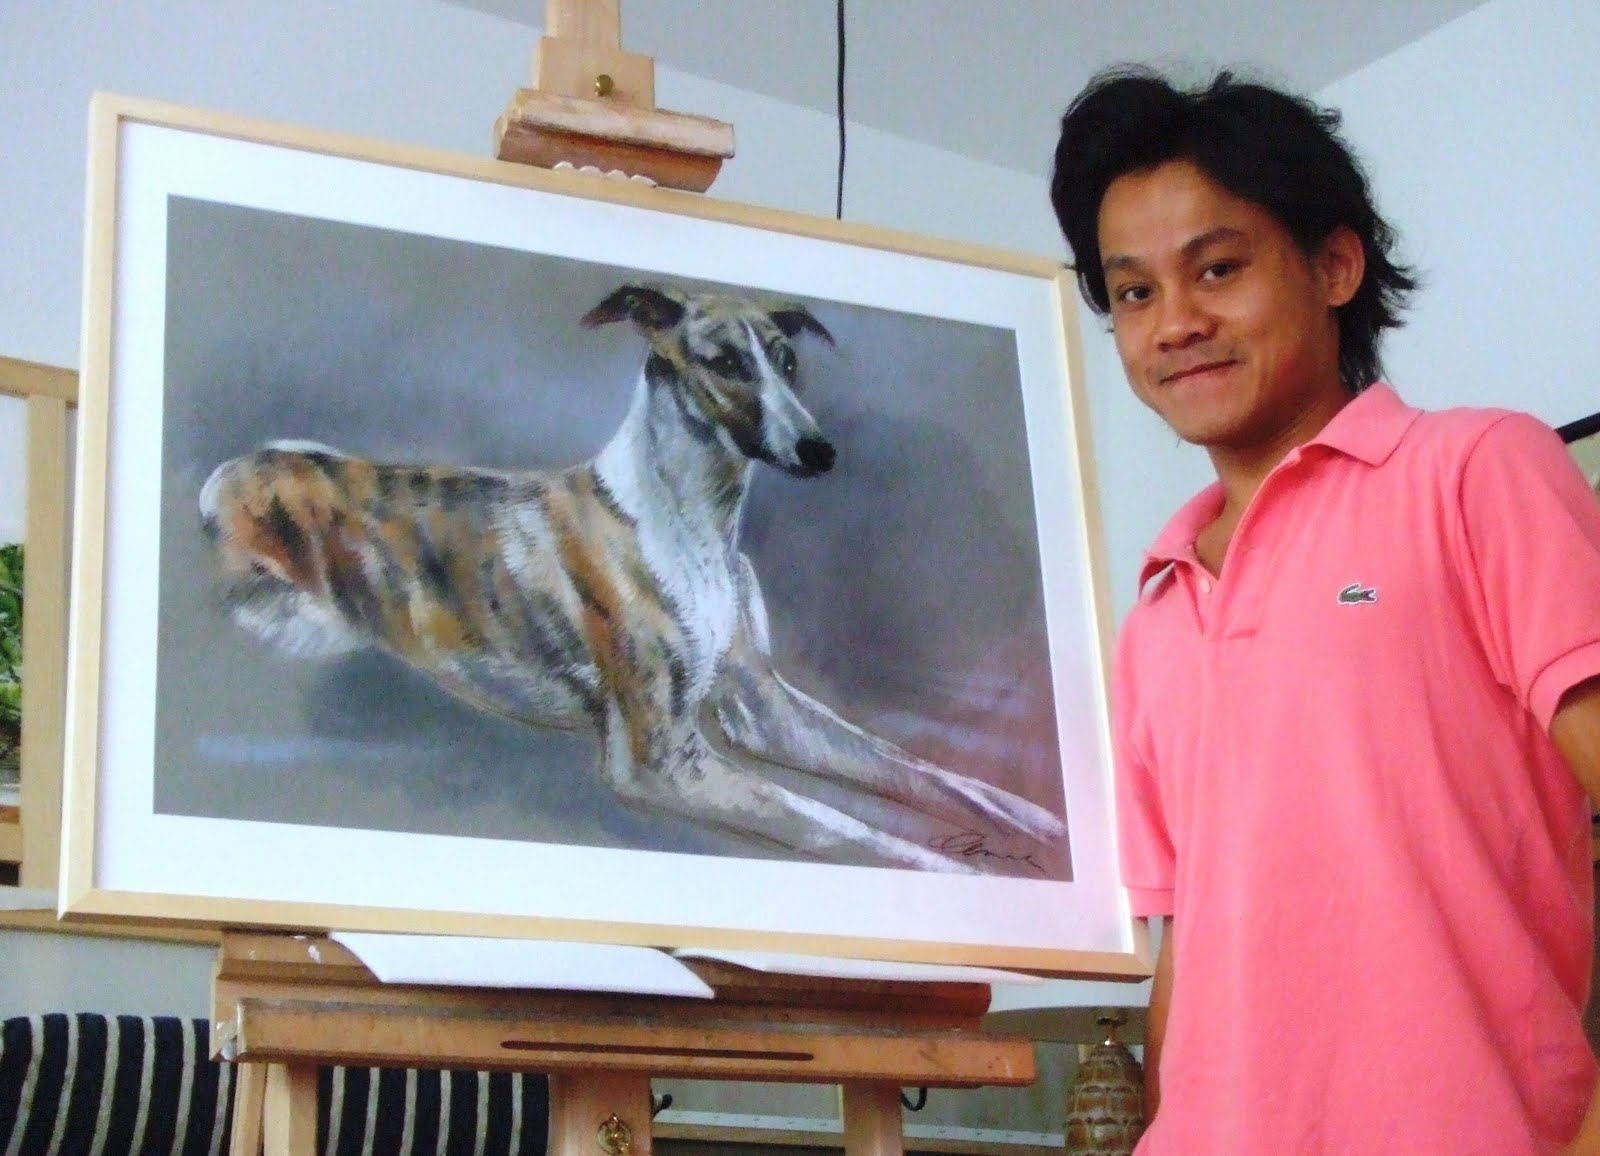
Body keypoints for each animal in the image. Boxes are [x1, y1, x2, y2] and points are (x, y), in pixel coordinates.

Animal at [198, 282, 1066, 872]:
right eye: (725, 362)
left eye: (788, 362)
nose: (820, 451)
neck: (692, 524)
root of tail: (230, 472)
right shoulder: (662, 759)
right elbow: (850, 827)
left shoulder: (765, 709)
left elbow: (930, 774)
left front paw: (1044, 824)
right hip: (294, 619)